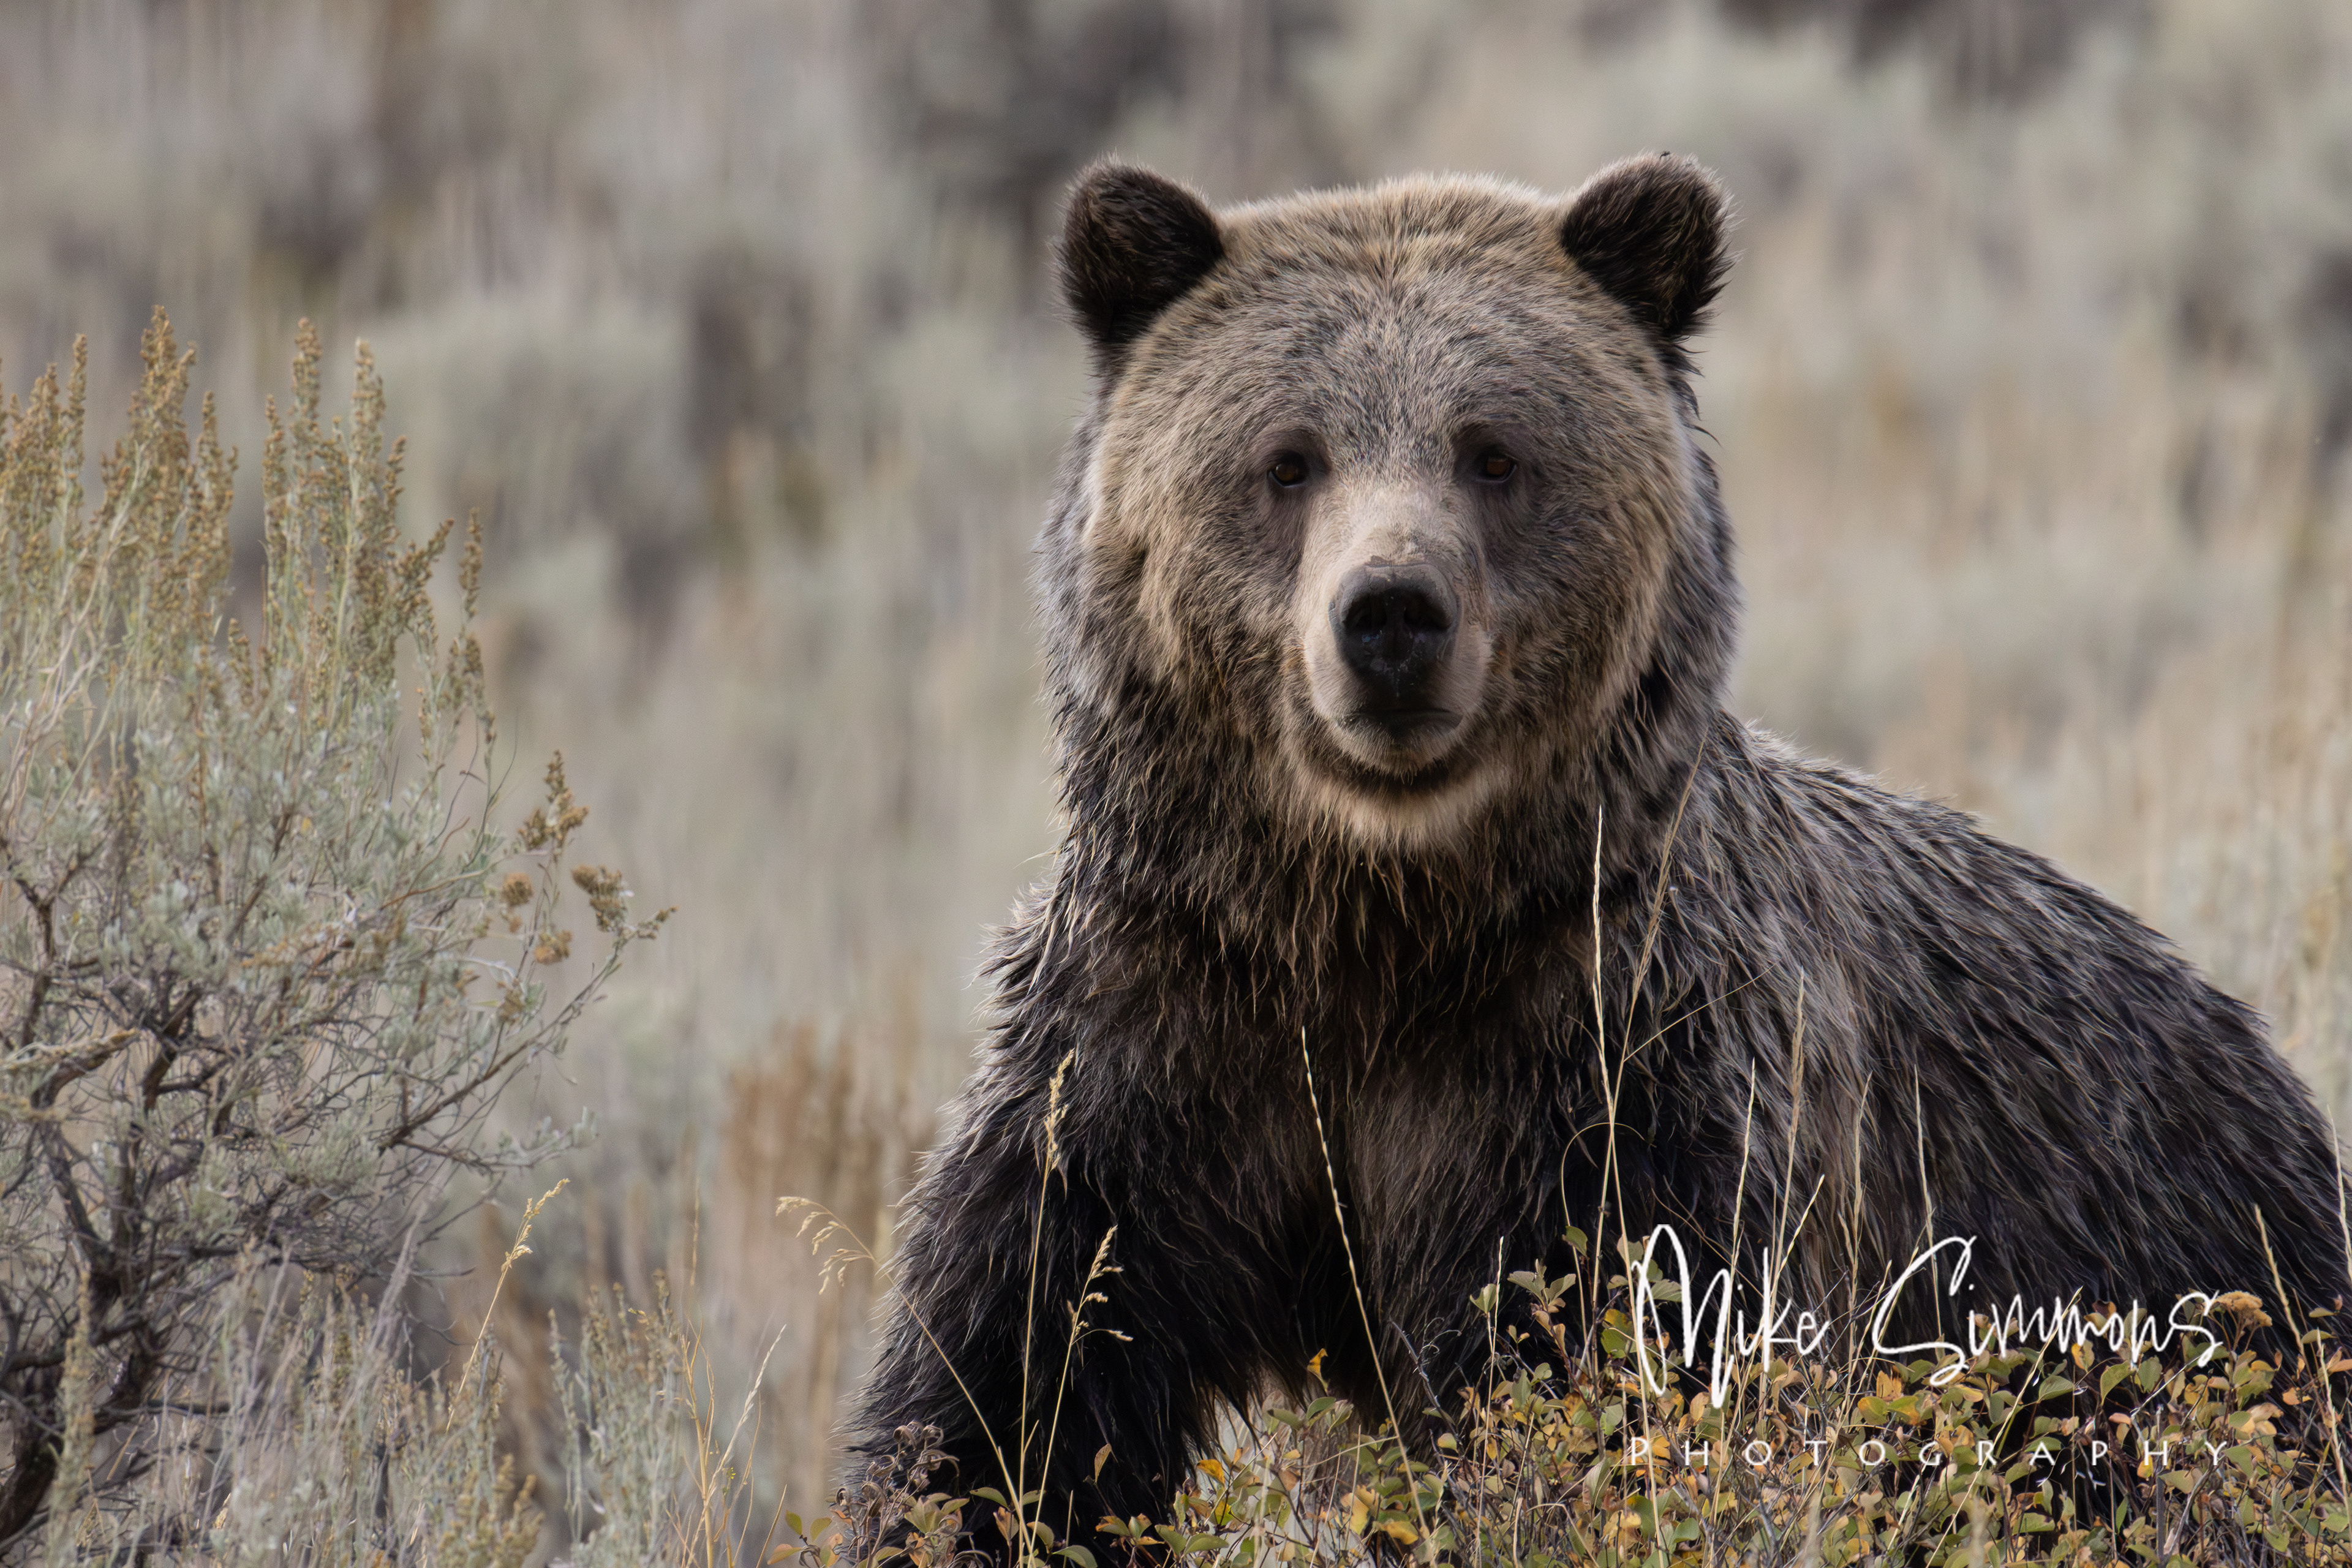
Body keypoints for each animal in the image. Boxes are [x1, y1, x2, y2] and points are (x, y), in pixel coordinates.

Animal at [848, 154, 2350, 1555]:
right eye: (1286, 457)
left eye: (1492, 450)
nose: (1390, 615)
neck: (1380, 930)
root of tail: (2259, 1050)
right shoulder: (1158, 1052)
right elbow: (1014, 1386)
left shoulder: (1620, 1072)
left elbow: (1624, 1371)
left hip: (2180, 1284)